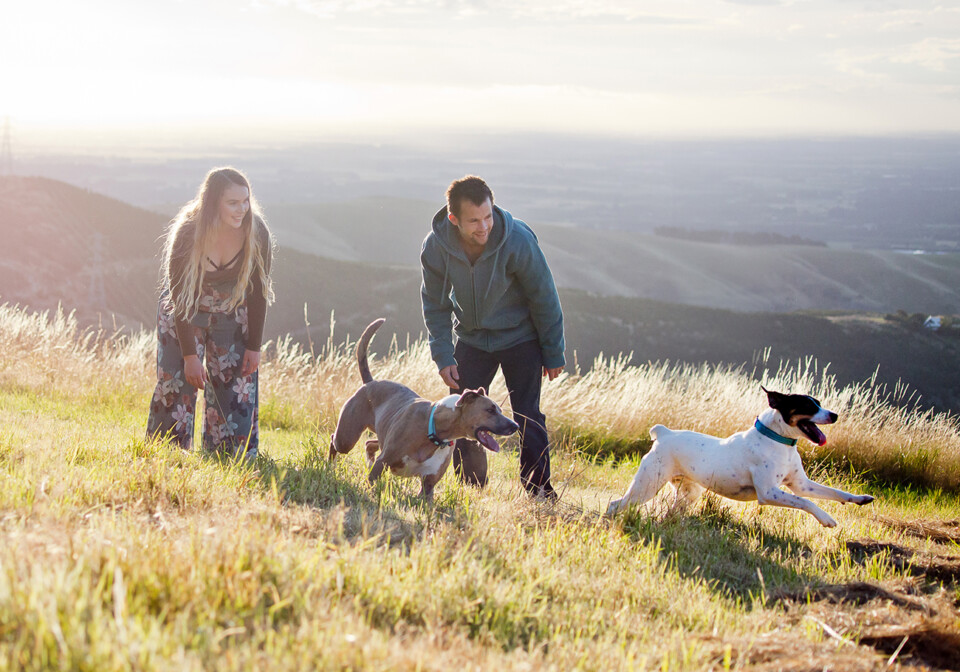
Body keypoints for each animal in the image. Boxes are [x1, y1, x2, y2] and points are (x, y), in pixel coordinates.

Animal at [612, 388, 872, 524]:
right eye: (808, 406)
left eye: (819, 403)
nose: (835, 415)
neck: (778, 441)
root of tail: (664, 433)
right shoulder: (769, 492)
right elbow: (805, 502)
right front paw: (826, 519)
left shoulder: (801, 484)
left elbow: (833, 492)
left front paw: (860, 499)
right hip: (647, 486)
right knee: (616, 504)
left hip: (689, 492)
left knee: (671, 511)